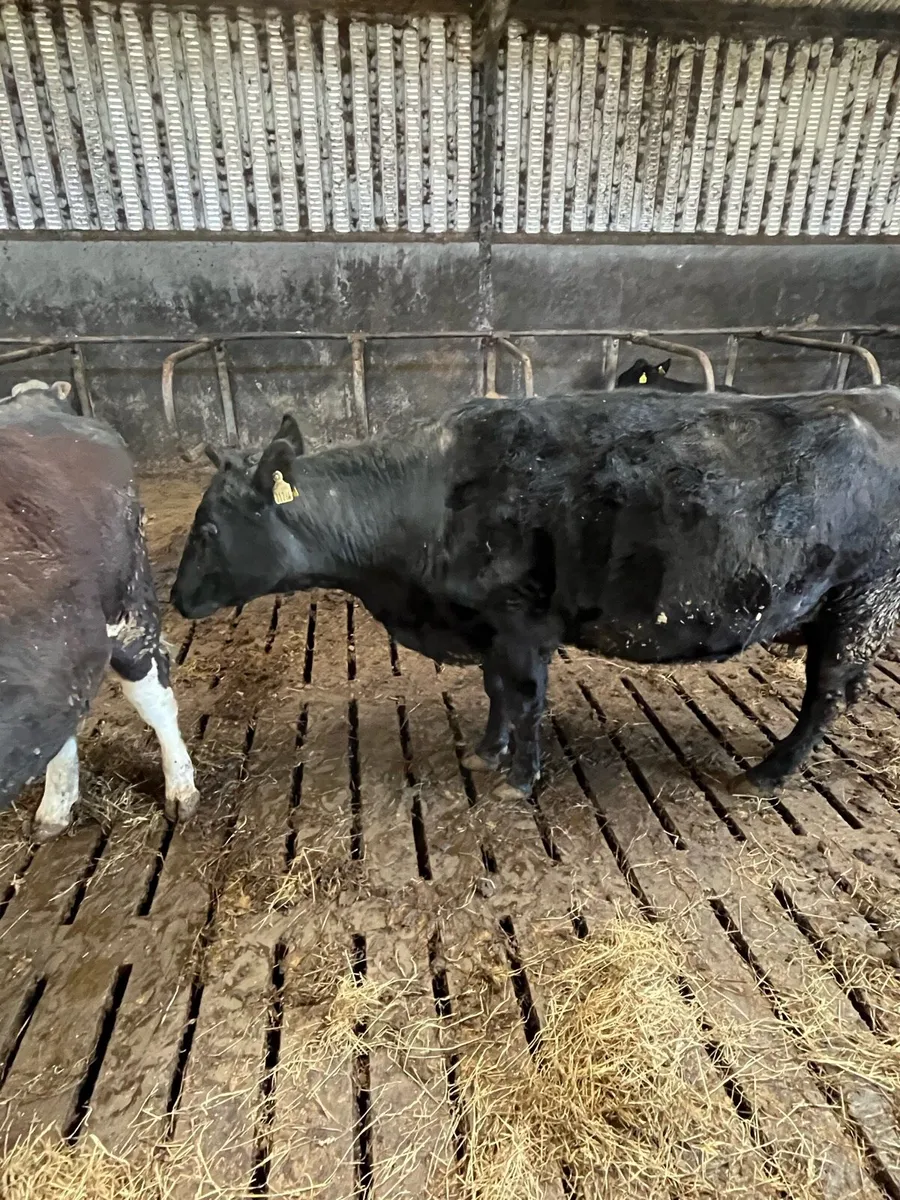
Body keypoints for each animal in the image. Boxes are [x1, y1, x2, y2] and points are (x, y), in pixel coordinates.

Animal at [171, 388, 900, 802]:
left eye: (207, 530)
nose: (175, 598)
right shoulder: (490, 626)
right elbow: (496, 692)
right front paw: (486, 751)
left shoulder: (521, 622)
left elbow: (524, 700)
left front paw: (520, 780)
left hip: (863, 599)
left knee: (828, 695)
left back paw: (770, 773)